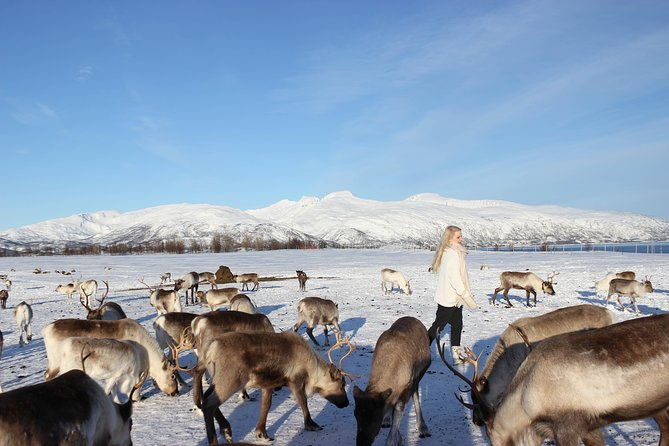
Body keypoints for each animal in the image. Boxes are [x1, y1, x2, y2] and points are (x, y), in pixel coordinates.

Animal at [187, 331, 353, 444]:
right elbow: (303, 402)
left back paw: (226, 430)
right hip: (229, 381)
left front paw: (262, 433)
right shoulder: (295, 381)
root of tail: (211, 349)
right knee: (209, 404)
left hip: (218, 381)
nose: (346, 403)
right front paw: (311, 424)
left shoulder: (268, 384)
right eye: (342, 384)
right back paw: (218, 437)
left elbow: (266, 406)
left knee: (205, 397)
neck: (312, 369)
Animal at [353, 316, 431, 446]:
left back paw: (423, 428)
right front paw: (398, 438)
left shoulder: (407, 386)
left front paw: (393, 440)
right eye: (356, 414)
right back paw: (387, 420)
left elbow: (398, 410)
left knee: (415, 394)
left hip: (419, 374)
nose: (362, 442)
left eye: (375, 415)